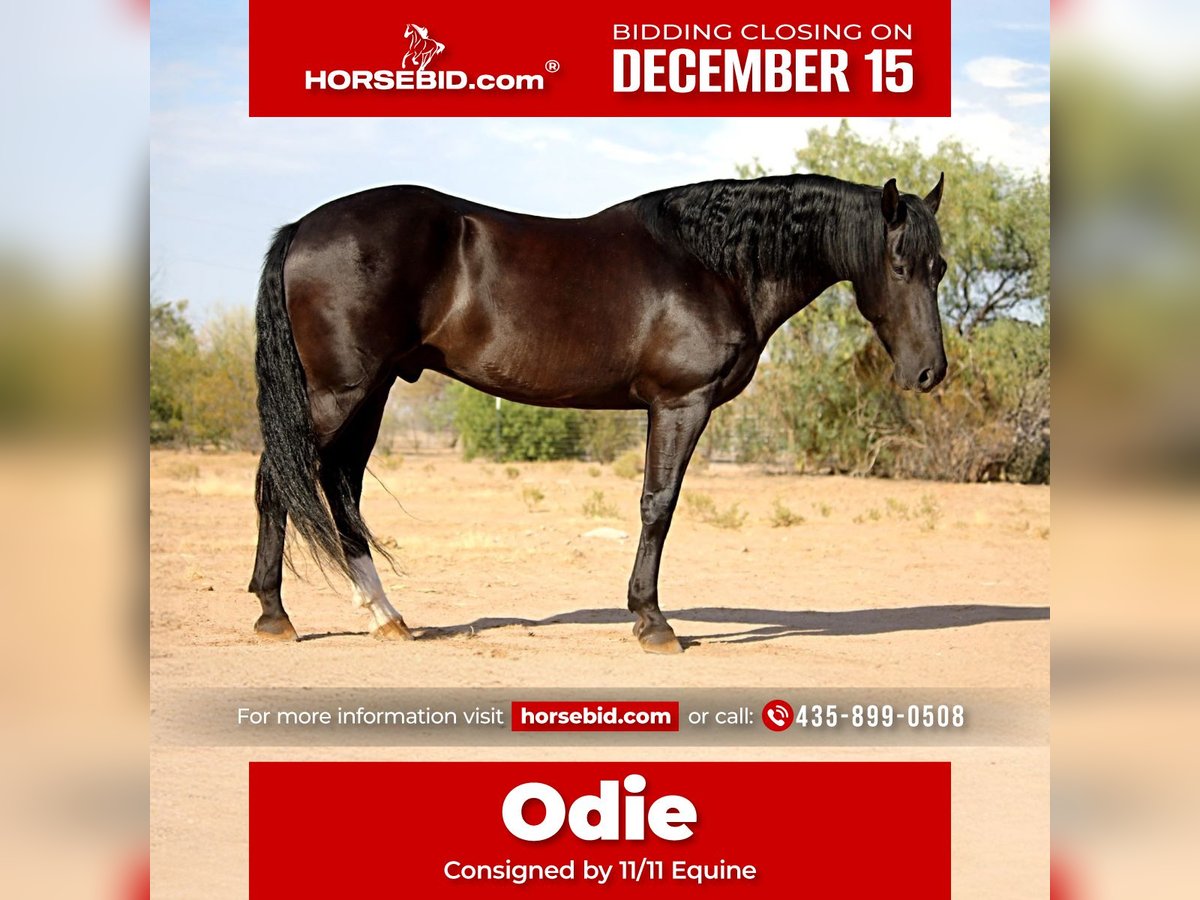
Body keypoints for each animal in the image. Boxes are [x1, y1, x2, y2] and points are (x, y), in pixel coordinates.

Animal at [248, 173, 948, 654]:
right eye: (898, 264)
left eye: (939, 267)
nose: (929, 372)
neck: (715, 263)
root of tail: (302, 227)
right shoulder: (680, 403)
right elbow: (658, 505)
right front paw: (653, 622)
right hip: (339, 393)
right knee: (277, 480)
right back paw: (275, 615)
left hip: (373, 389)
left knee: (340, 487)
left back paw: (385, 615)